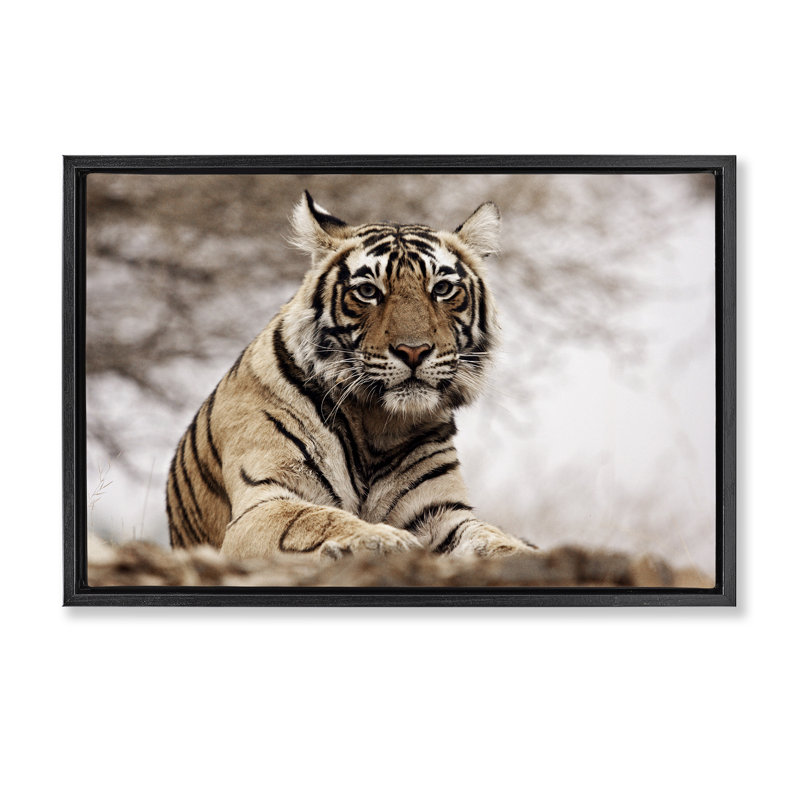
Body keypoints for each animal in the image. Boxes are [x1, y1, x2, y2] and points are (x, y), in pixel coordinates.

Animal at [165, 192, 534, 560]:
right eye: (368, 292)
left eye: (442, 289)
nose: (413, 351)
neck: (378, 424)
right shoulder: (263, 502)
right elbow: (315, 519)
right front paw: (385, 539)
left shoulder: (440, 511)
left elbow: (490, 538)